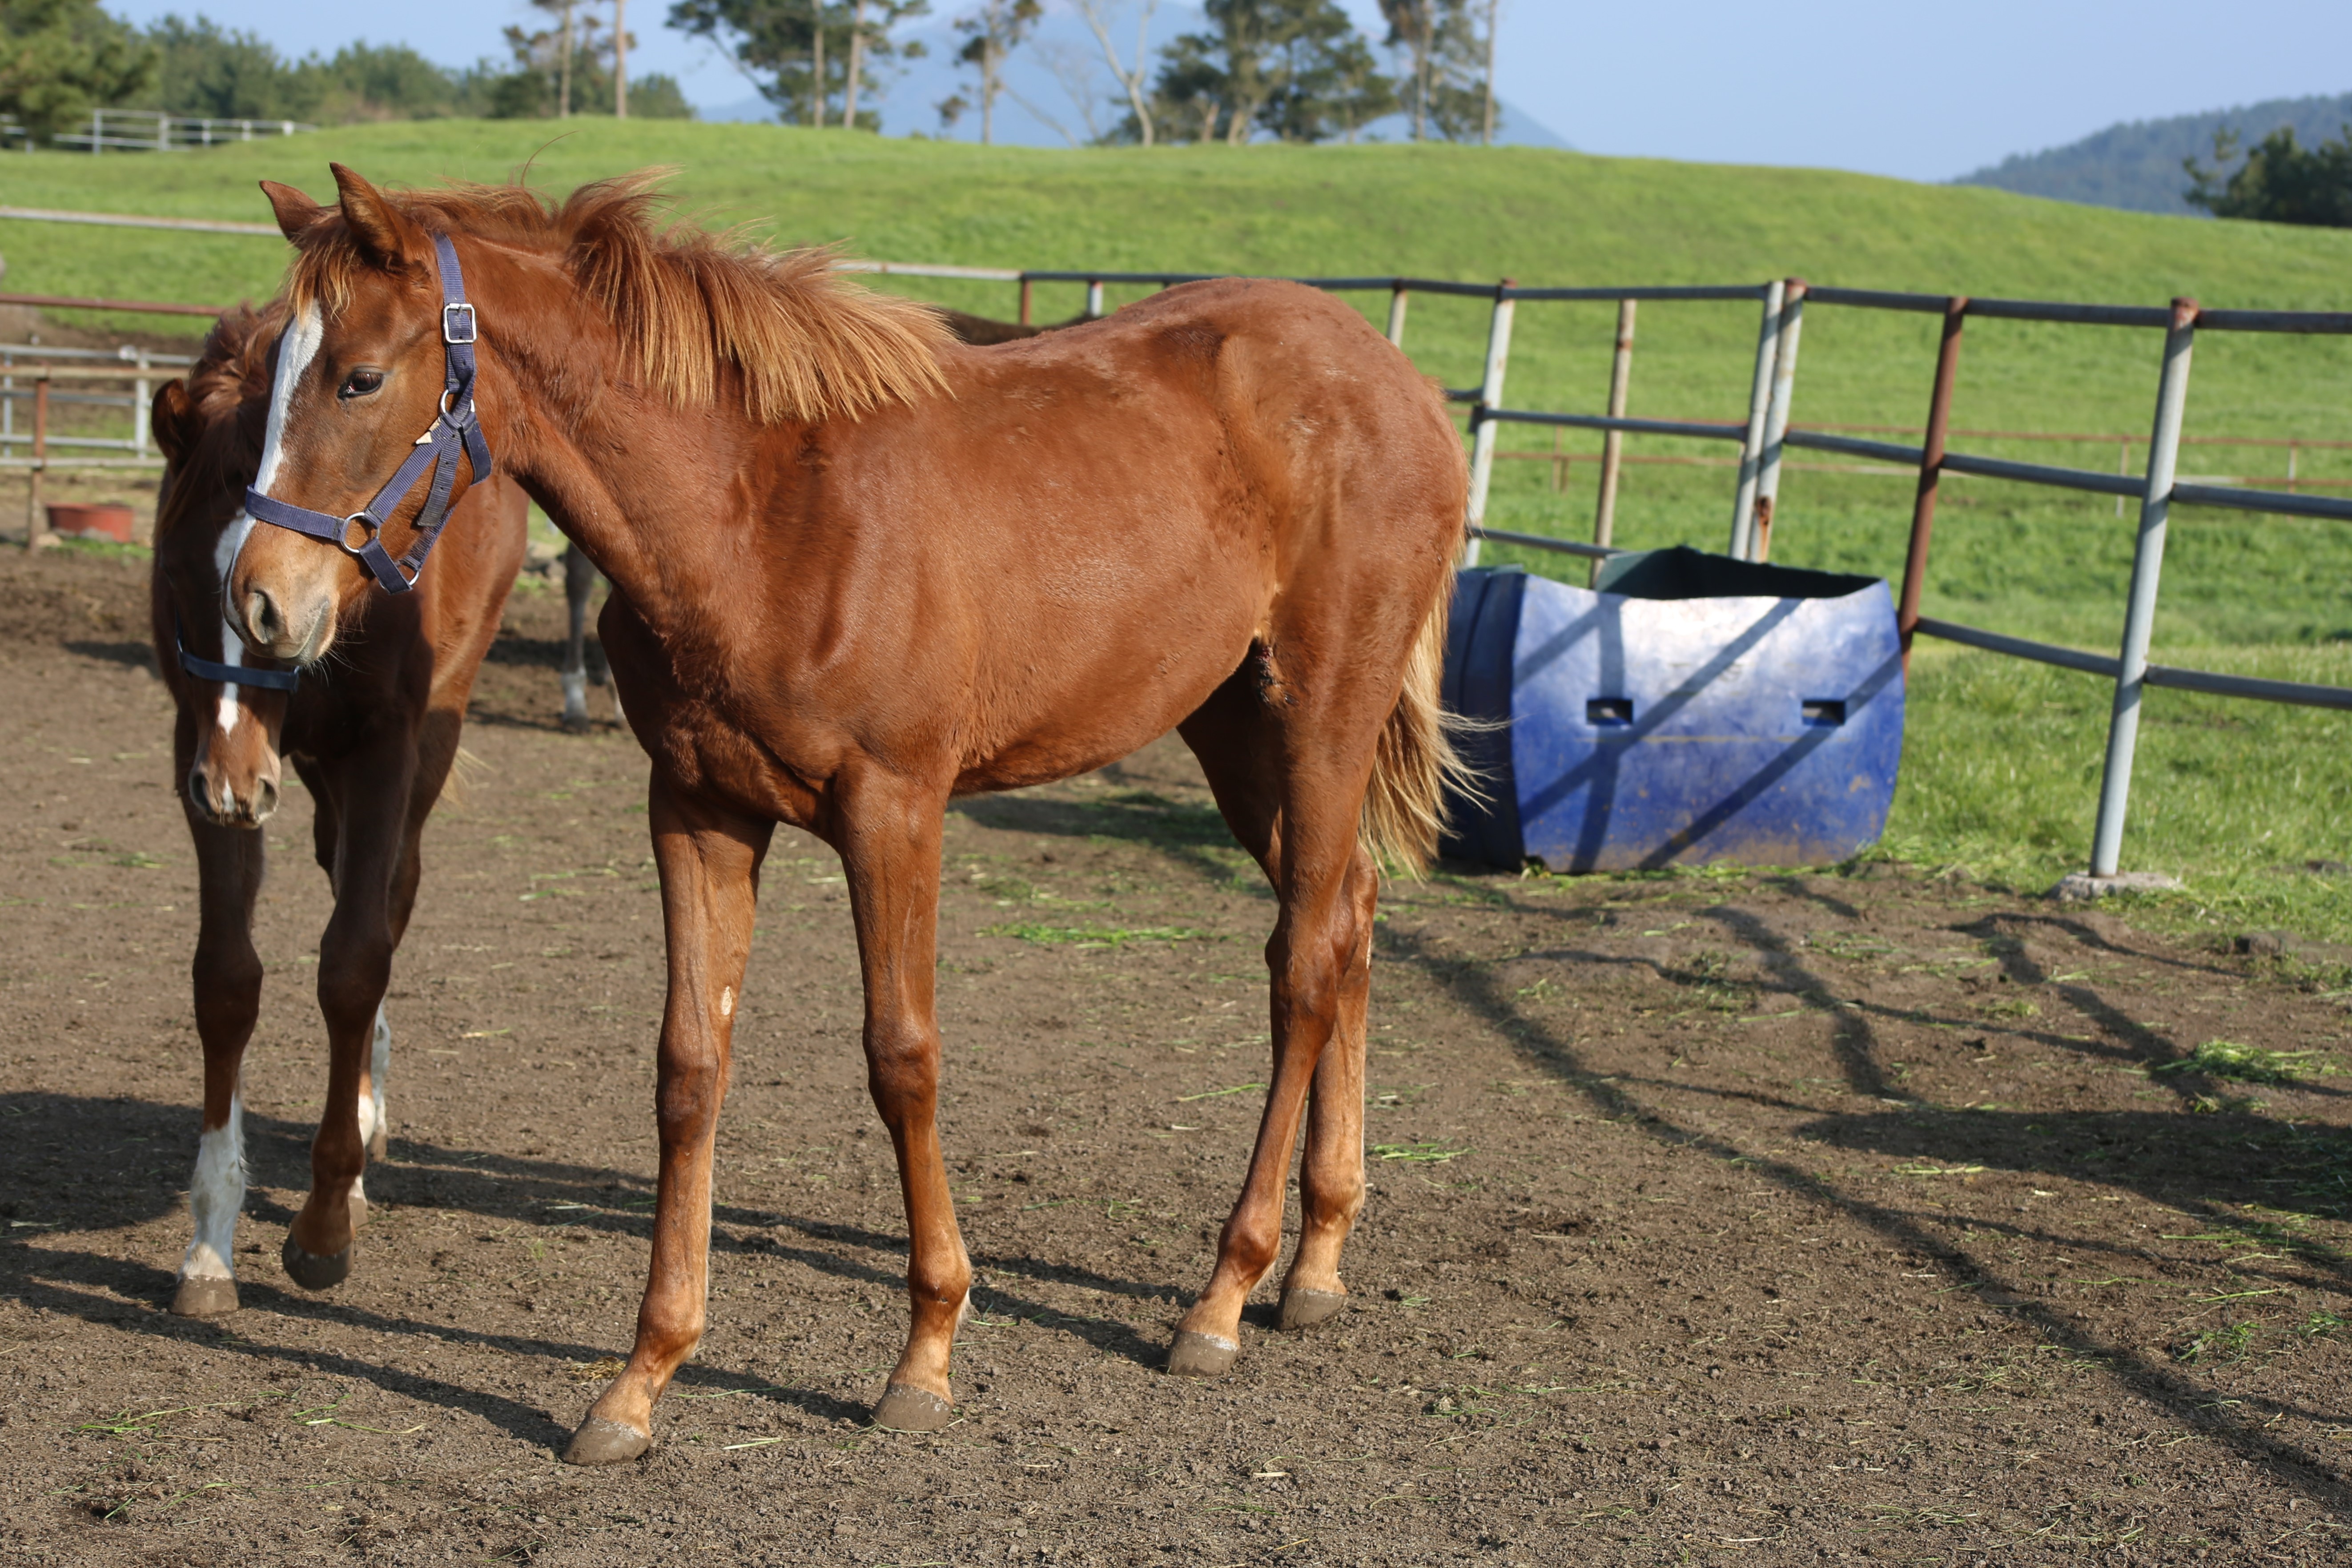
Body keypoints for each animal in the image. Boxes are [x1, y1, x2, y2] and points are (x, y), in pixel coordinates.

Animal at [149, 301, 531, 1316]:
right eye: (178, 580)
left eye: (249, 604)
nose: (234, 782)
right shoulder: (197, 748)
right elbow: (226, 980)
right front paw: (210, 1243)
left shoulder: (383, 753)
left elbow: (355, 963)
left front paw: (326, 1220)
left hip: (418, 752)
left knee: (389, 899)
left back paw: (361, 1127)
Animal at [225, 165, 1467, 1467]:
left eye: (359, 377)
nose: (258, 598)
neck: (762, 512)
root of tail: (1394, 378)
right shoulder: (697, 808)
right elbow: (689, 1064)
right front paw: (642, 1376)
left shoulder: (895, 809)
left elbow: (900, 1057)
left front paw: (925, 1350)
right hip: (1232, 724)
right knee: (1349, 917)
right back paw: (1316, 1260)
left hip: (1319, 710)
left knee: (1304, 962)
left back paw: (1223, 1294)